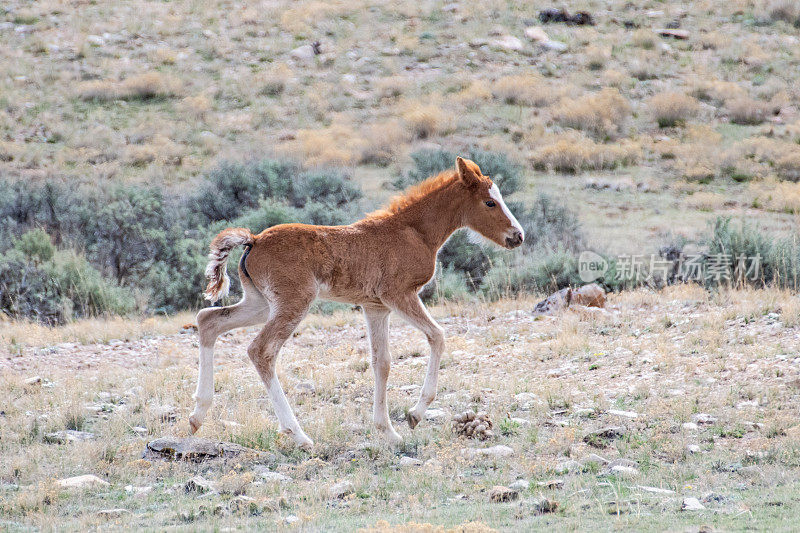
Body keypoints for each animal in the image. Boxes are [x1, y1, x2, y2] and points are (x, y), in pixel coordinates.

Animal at [188, 156, 524, 446]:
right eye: (490, 202)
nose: (517, 236)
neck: (414, 232)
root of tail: (254, 240)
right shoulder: (399, 294)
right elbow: (437, 336)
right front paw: (414, 414)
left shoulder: (376, 307)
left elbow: (381, 362)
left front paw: (387, 431)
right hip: (293, 304)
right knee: (261, 350)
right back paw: (298, 434)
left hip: (260, 304)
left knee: (208, 321)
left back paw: (197, 416)